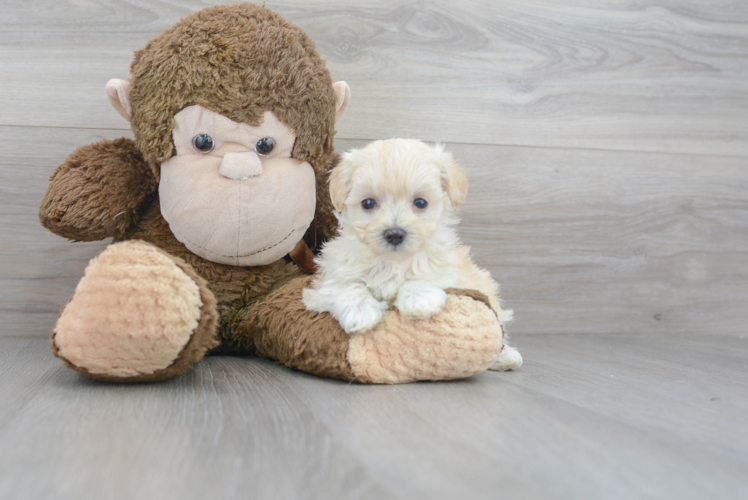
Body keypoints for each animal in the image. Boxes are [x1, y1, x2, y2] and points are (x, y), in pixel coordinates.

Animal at [300, 139, 524, 370]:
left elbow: (427, 270)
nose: (394, 234)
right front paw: (361, 313)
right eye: (368, 203)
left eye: (420, 202)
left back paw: (506, 356)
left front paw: (418, 300)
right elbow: (346, 287)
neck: (391, 262)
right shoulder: (331, 275)